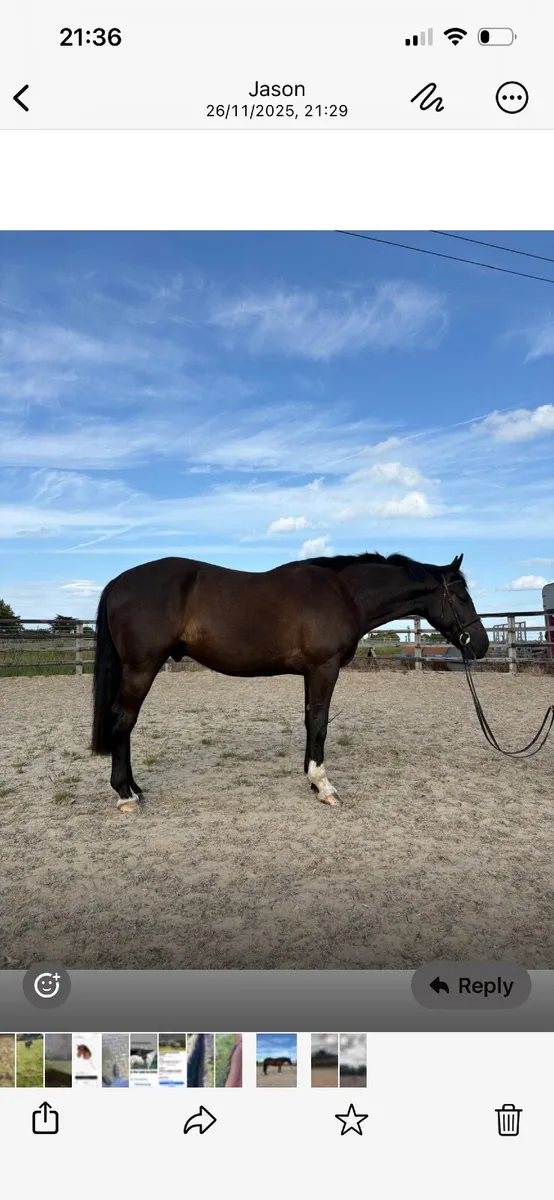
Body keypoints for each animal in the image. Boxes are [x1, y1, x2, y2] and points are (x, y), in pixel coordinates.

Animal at [91, 550, 488, 812]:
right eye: (461, 596)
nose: (481, 645)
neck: (343, 593)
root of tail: (119, 581)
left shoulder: (311, 673)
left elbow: (310, 721)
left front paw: (312, 781)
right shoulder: (325, 668)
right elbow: (320, 723)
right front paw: (324, 786)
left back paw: (135, 788)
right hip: (141, 668)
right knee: (123, 721)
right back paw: (125, 795)